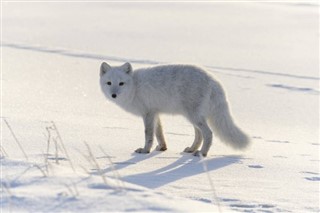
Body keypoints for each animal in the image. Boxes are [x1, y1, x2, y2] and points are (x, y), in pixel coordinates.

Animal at [100, 61, 250, 156]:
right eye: (109, 83)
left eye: (121, 83)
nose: (114, 95)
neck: (135, 87)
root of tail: (213, 80)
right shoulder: (155, 113)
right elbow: (159, 133)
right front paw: (162, 148)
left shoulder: (148, 113)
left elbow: (148, 135)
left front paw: (144, 151)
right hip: (193, 117)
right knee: (199, 134)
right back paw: (191, 149)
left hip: (194, 116)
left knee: (208, 133)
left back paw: (202, 153)